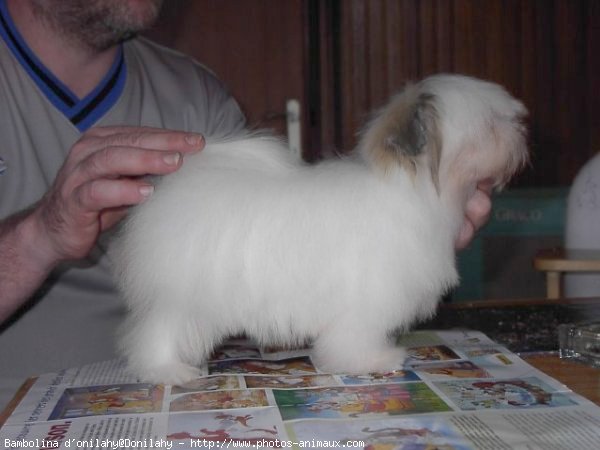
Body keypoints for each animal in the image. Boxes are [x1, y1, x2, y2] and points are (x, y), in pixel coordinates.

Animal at [115, 74, 528, 384]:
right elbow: (356, 335)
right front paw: (373, 360)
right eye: (490, 125)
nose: (522, 129)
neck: (411, 190)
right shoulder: (369, 294)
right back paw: (167, 370)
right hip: (184, 291)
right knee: (157, 331)